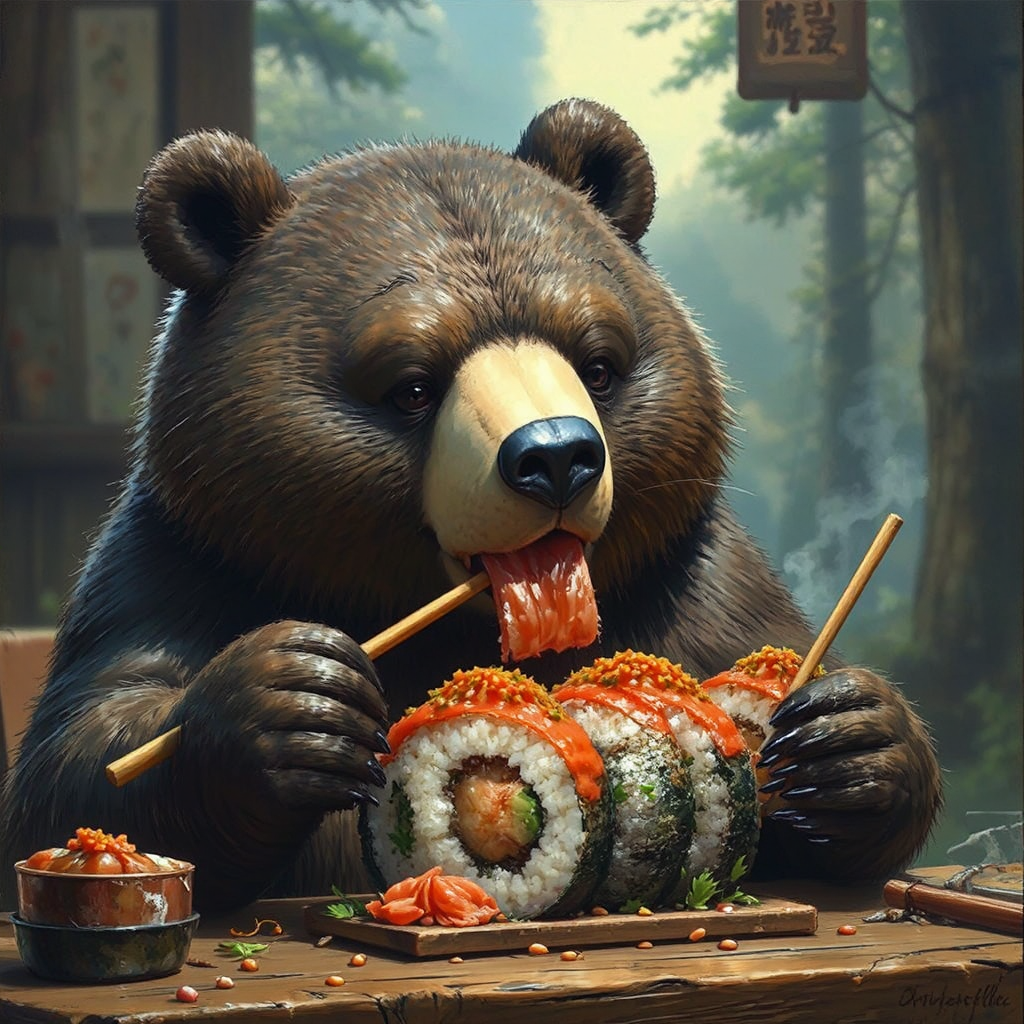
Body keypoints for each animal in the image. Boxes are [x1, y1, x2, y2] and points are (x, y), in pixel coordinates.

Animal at [0, 99, 941, 912]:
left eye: (598, 363)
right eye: (411, 385)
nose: (557, 456)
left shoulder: (694, 576)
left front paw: (851, 737)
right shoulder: (187, 557)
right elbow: (80, 761)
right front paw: (293, 697)